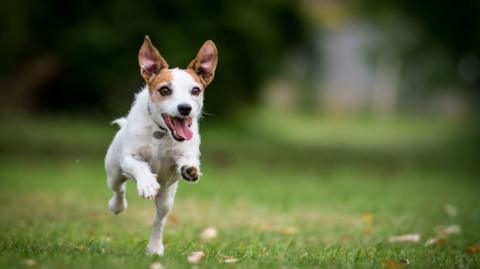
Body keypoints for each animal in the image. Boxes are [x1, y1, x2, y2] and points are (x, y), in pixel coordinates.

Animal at [105, 36, 219, 255]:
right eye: (165, 90)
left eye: (195, 90)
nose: (185, 108)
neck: (161, 132)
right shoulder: (129, 157)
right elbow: (139, 166)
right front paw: (147, 183)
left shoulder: (183, 154)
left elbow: (186, 160)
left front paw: (190, 169)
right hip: (114, 171)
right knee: (118, 188)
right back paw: (117, 206)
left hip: (166, 198)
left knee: (159, 220)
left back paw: (155, 247)